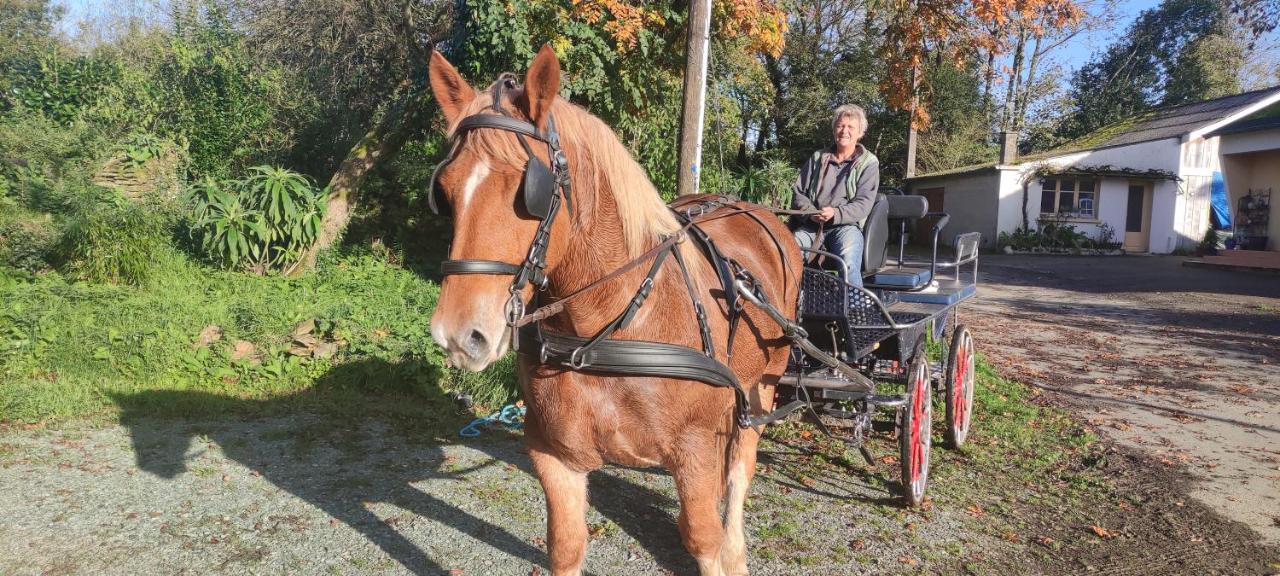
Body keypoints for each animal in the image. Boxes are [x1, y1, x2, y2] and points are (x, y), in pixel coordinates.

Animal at [424, 46, 793, 576]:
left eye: (529, 192)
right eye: (446, 189)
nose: (458, 333)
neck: (605, 329)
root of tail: (757, 212)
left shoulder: (697, 451)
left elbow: (705, 538)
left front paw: (724, 550)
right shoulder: (553, 452)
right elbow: (565, 545)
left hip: (762, 388)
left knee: (741, 470)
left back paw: (737, 545)